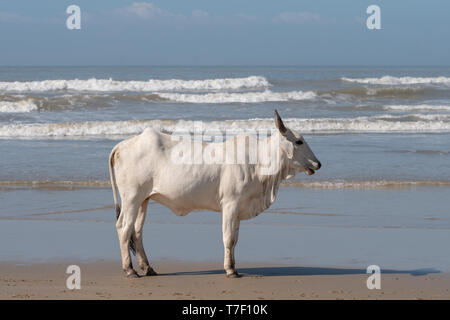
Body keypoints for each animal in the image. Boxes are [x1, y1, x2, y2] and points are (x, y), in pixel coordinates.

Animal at [108, 110, 320, 278]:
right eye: (299, 141)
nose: (318, 163)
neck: (259, 162)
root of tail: (123, 145)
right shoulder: (230, 204)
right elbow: (228, 238)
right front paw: (230, 270)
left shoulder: (238, 209)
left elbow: (235, 239)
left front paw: (234, 267)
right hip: (131, 198)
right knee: (124, 228)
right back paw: (130, 270)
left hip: (143, 200)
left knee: (137, 232)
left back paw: (148, 268)